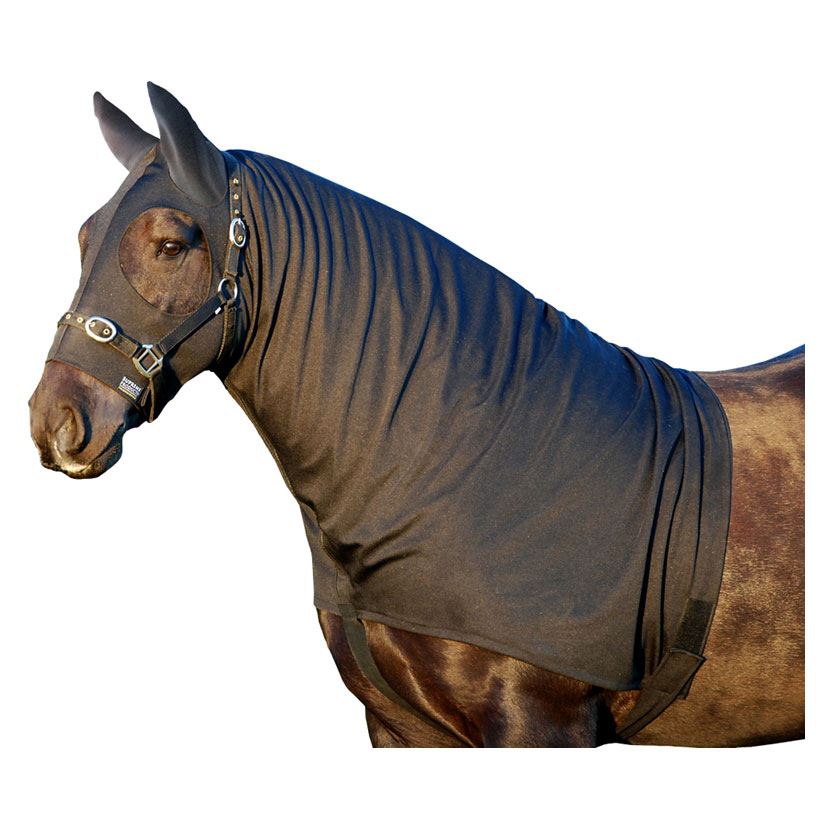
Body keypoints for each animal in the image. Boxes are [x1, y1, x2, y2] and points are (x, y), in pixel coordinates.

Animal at [29, 84, 804, 748]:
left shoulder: (537, 725)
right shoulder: (404, 729)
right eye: (84, 238)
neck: (462, 452)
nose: (56, 423)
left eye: (171, 244)